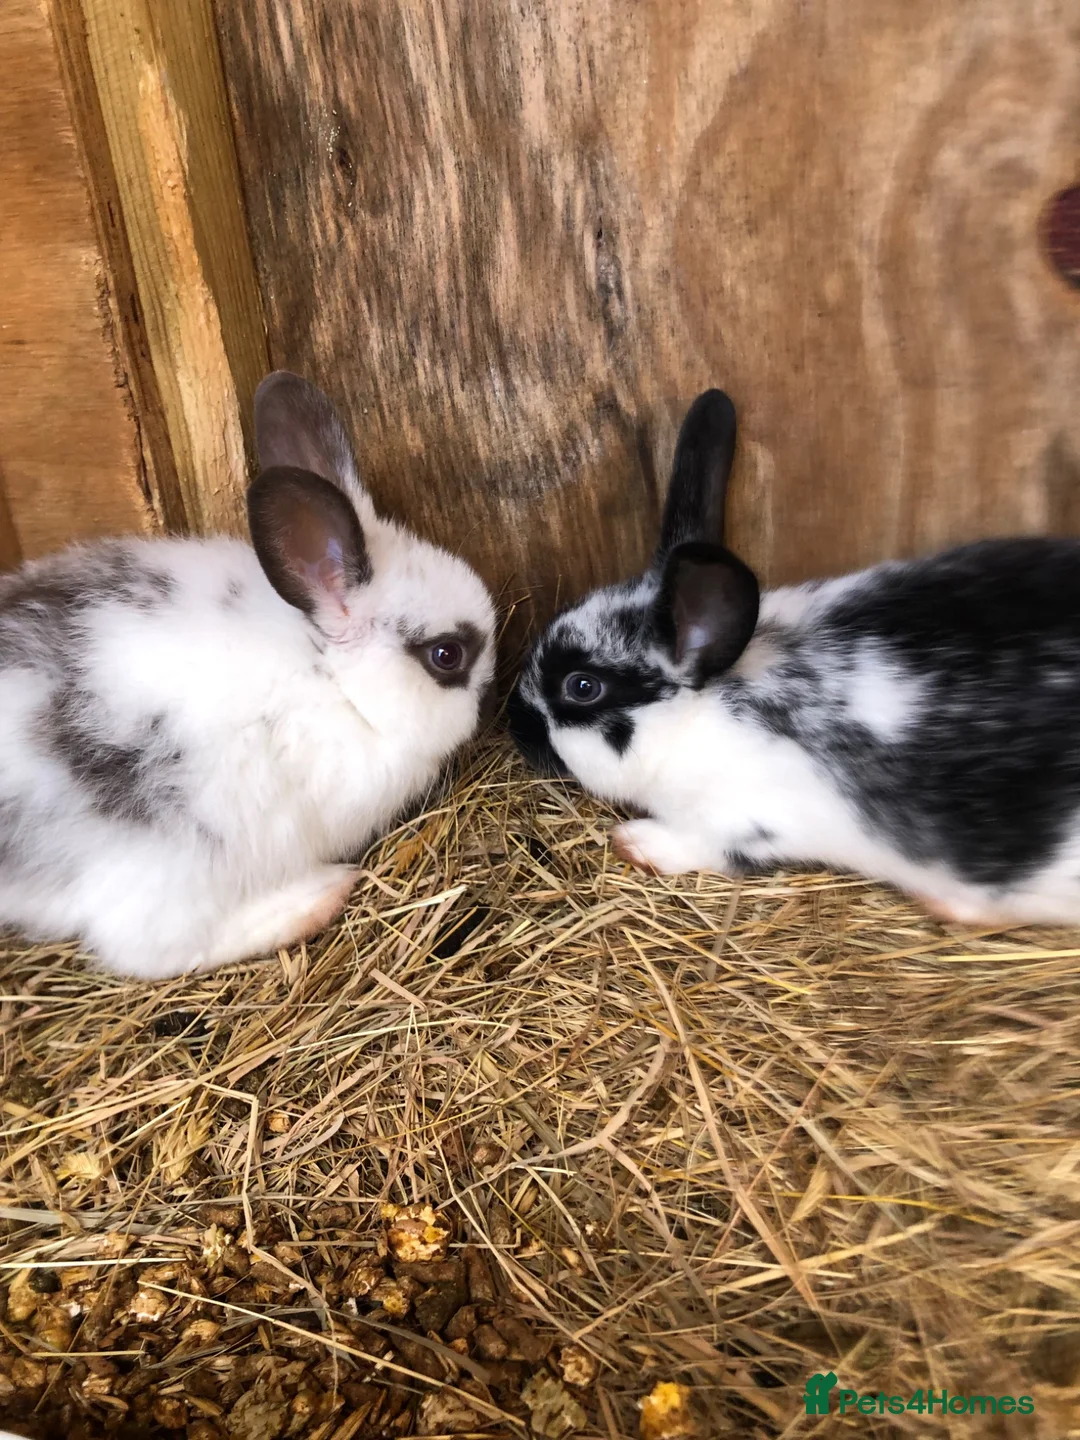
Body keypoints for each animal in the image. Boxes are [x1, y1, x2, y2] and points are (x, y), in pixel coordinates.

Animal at [0, 372, 496, 978]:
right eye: (447, 655)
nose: (492, 693)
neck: (330, 679)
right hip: (172, 859)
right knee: (150, 948)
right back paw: (314, 898)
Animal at [508, 388, 1080, 928]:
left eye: (582, 686)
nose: (514, 725)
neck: (697, 716)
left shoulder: (746, 821)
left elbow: (699, 847)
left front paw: (634, 841)